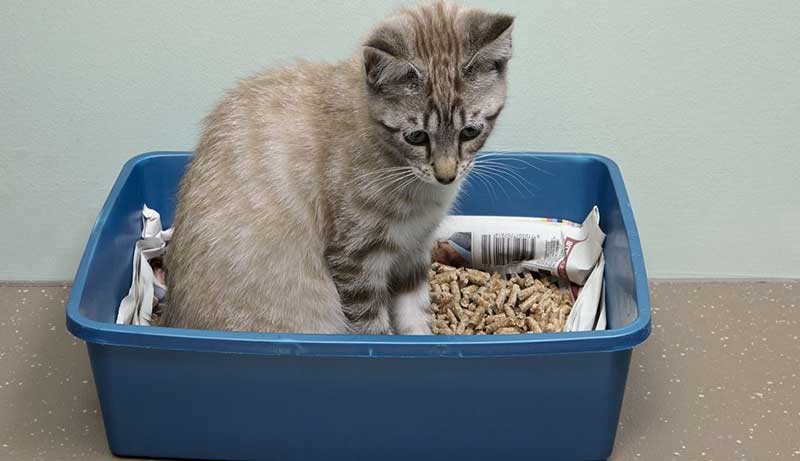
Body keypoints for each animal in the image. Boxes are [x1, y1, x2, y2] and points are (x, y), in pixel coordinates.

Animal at [162, 2, 512, 334]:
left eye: (469, 132)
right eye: (416, 136)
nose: (446, 174)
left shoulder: (414, 251)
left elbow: (415, 316)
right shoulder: (355, 260)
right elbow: (373, 328)